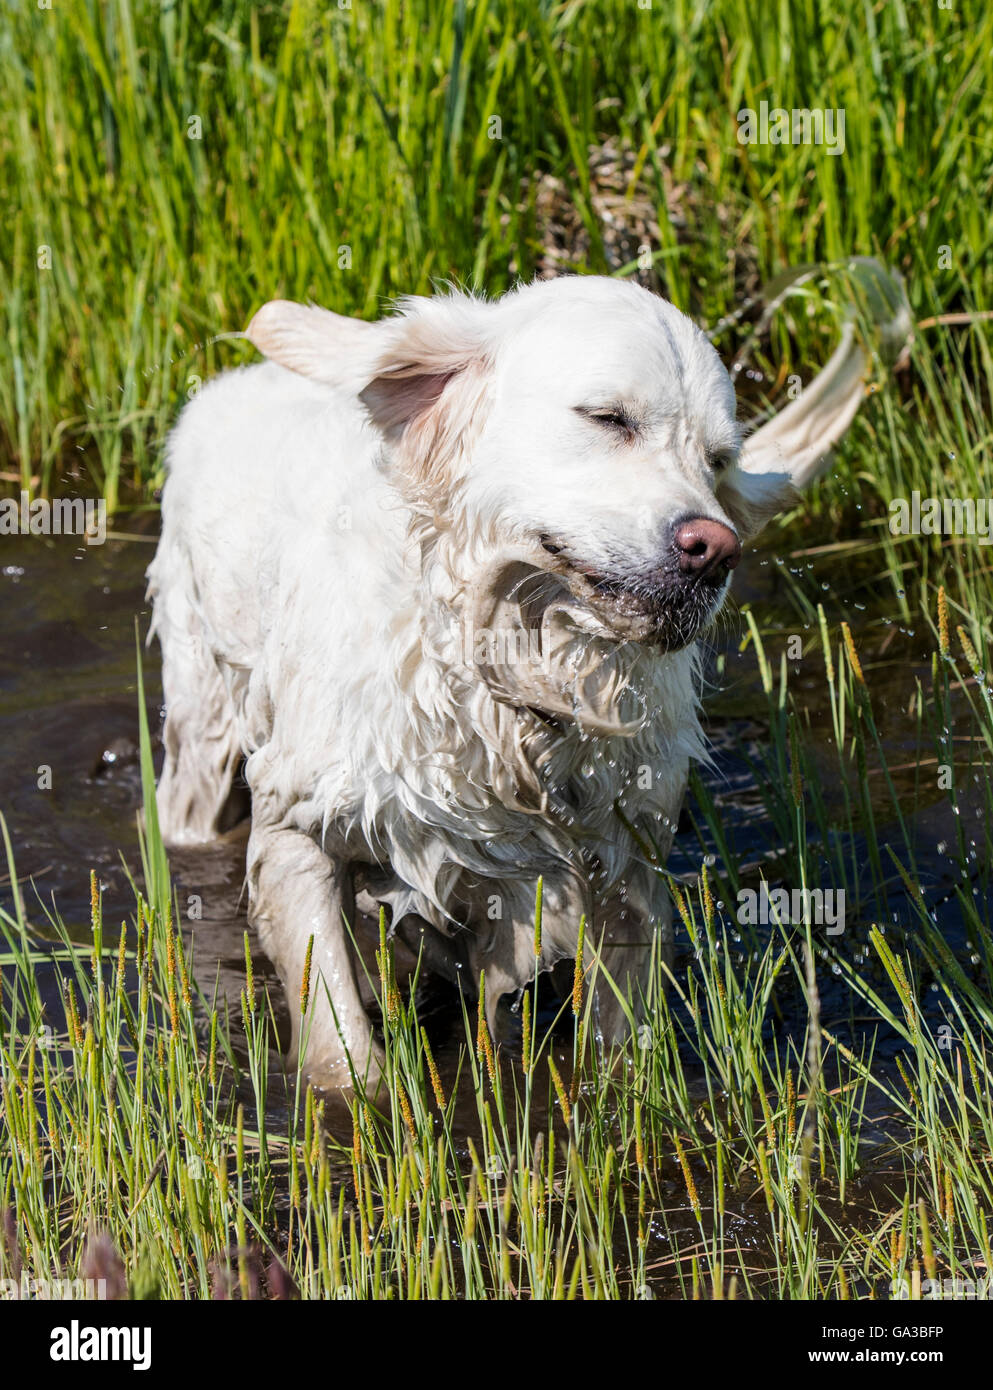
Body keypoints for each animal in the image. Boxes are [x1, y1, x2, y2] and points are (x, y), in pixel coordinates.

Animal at [145, 271, 873, 1084]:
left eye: (716, 459)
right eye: (607, 418)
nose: (714, 549)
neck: (510, 664)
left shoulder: (627, 859)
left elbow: (615, 1045)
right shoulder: (296, 827)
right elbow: (342, 1048)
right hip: (201, 716)